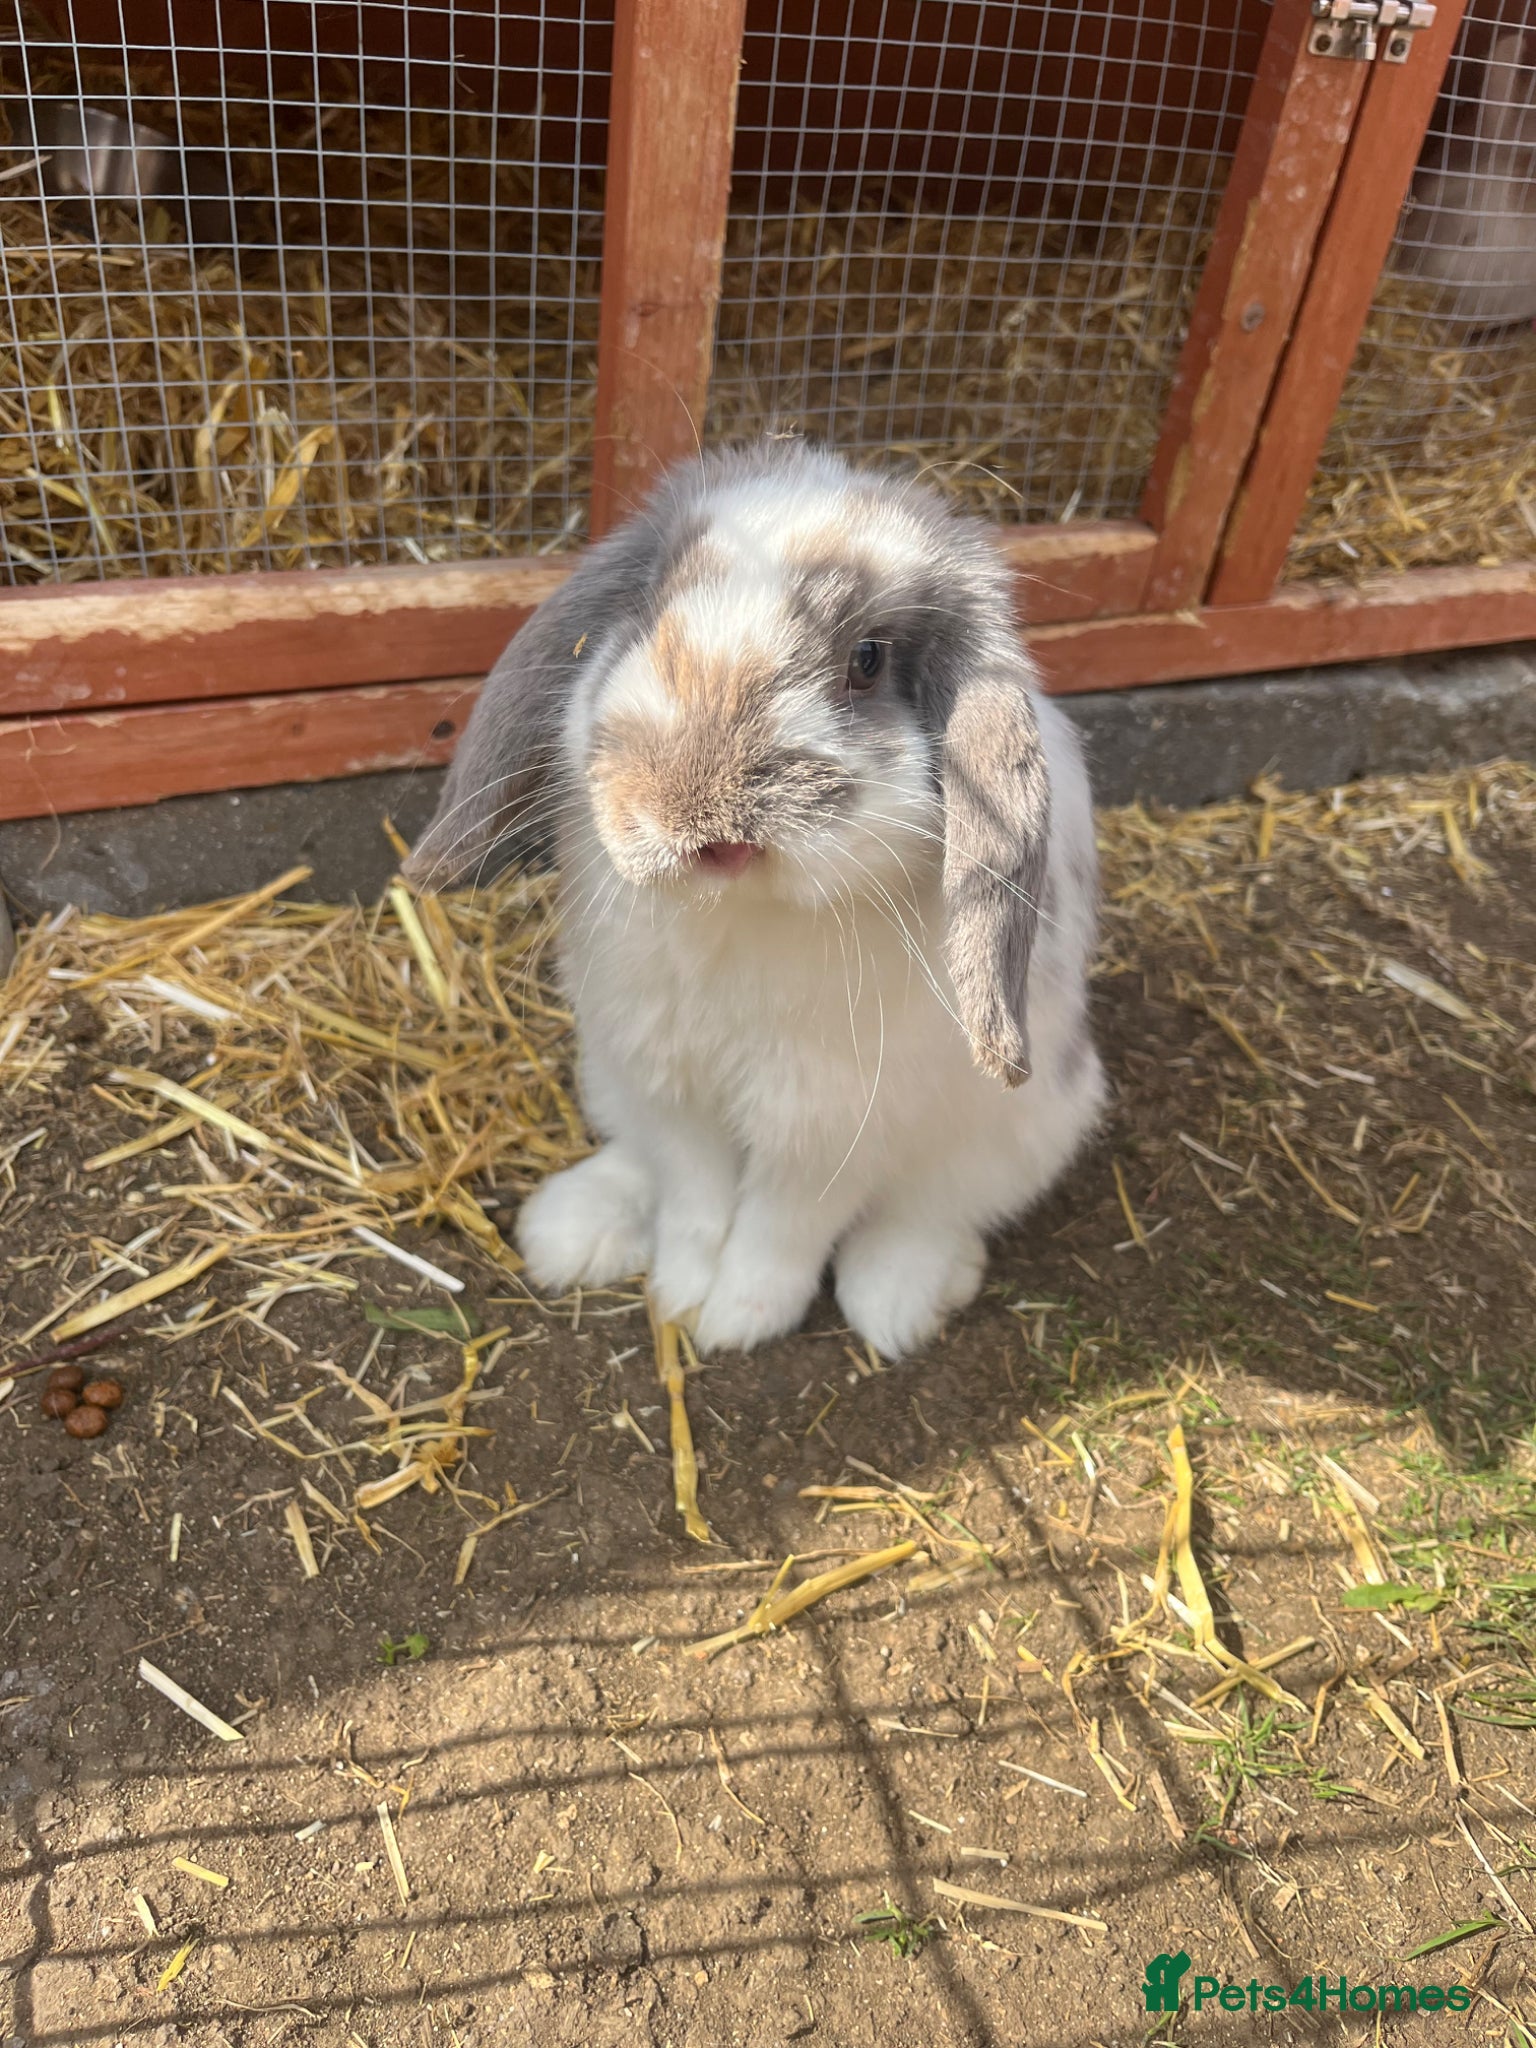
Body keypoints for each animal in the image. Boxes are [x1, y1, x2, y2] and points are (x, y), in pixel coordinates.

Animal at [404, 440, 1105, 1356]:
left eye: (868, 659)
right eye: (650, 608)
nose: (696, 819)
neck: (737, 912)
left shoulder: (829, 1129)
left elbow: (783, 1230)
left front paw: (738, 1320)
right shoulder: (672, 1091)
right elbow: (695, 1201)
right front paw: (680, 1296)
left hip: (1029, 1129)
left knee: (934, 1212)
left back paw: (899, 1301)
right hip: (607, 1075)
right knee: (636, 1159)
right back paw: (569, 1230)